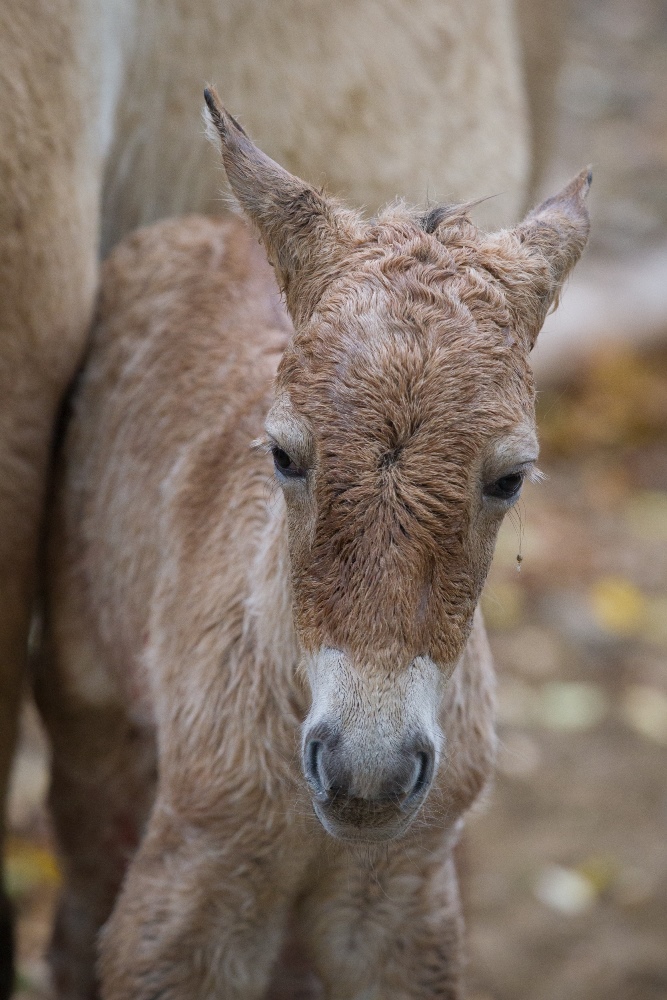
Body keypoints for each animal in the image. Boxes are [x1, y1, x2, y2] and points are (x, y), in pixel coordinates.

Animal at [39, 90, 588, 996]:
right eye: (284, 454)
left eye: (509, 477)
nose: (366, 773)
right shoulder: (187, 896)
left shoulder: (403, 904)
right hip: (89, 714)